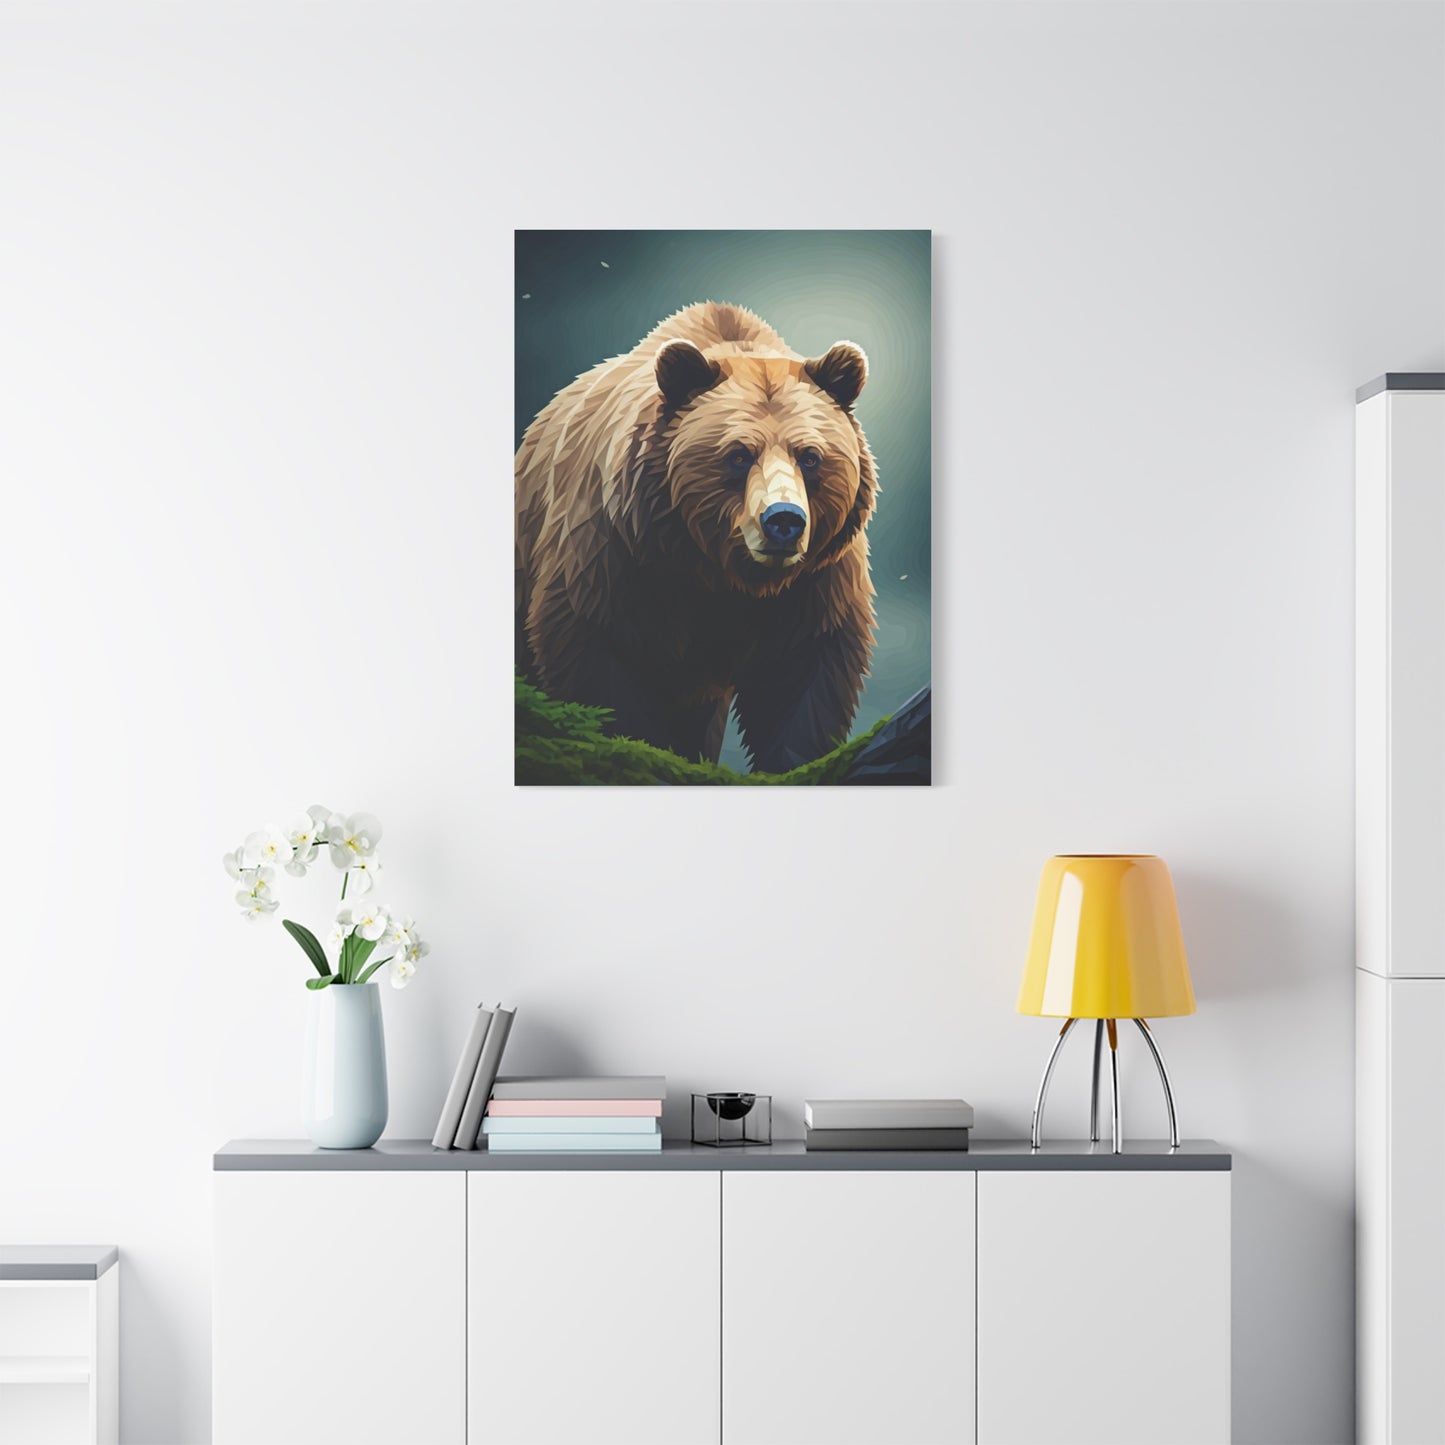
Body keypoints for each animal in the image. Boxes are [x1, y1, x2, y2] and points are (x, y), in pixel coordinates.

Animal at [515, 301, 878, 774]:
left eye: (810, 456)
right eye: (738, 454)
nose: (783, 520)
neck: (717, 570)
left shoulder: (816, 581)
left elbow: (803, 681)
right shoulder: (613, 555)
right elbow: (599, 660)